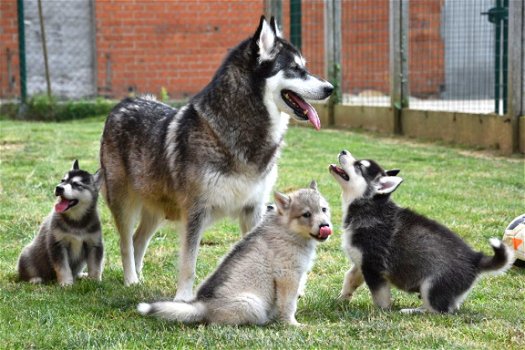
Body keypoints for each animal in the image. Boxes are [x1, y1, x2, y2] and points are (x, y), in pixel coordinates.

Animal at [98, 15, 332, 298]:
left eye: (304, 67)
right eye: (295, 69)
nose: (330, 88)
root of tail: (120, 105)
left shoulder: (253, 210)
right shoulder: (195, 214)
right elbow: (188, 264)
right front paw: (183, 298)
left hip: (156, 210)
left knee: (137, 240)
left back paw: (139, 282)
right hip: (125, 205)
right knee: (125, 244)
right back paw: (131, 280)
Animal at [136, 183, 332, 326]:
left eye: (323, 209)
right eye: (306, 214)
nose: (325, 226)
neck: (287, 229)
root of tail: (202, 305)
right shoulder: (287, 276)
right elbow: (289, 304)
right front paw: (292, 324)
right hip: (251, 303)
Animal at [328, 150, 512, 314]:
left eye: (359, 166)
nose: (343, 151)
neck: (368, 207)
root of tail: (475, 258)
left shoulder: (373, 267)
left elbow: (380, 296)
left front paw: (381, 312)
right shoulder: (361, 263)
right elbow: (349, 279)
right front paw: (341, 300)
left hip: (431, 285)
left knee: (439, 311)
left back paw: (411, 311)